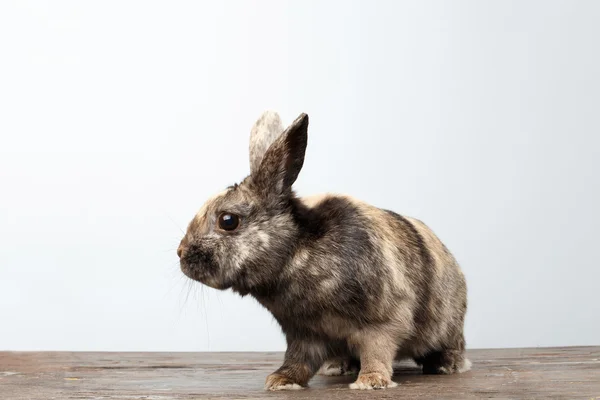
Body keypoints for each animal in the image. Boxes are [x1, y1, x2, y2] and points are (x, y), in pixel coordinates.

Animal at [178, 110, 468, 390]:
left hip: (448, 328)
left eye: (228, 220)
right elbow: (298, 359)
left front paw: (370, 382)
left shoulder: (383, 321)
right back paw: (338, 366)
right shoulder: (303, 333)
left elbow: (377, 351)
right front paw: (282, 381)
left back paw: (446, 365)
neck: (295, 253)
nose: (181, 254)